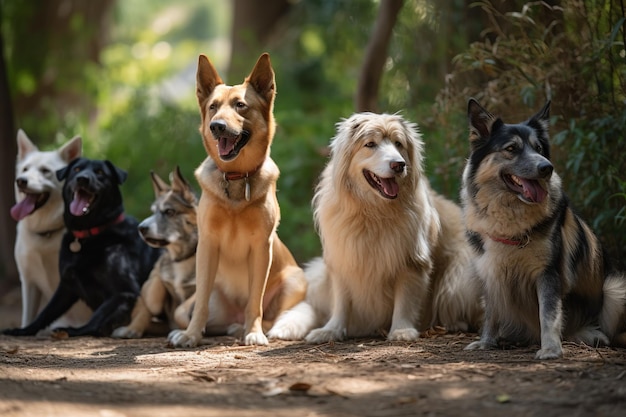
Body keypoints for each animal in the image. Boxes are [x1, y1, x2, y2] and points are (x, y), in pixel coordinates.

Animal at [4, 158, 161, 336]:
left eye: (100, 172)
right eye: (77, 169)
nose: (82, 179)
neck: (88, 234)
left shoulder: (125, 291)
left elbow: (98, 315)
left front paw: (76, 330)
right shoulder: (66, 286)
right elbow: (46, 312)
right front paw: (25, 330)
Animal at [11, 130, 90, 328]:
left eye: (45, 171)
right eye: (25, 169)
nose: (21, 181)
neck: (45, 233)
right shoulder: (28, 282)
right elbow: (27, 319)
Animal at [166, 53, 304, 346]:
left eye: (241, 105)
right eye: (213, 107)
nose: (216, 126)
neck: (236, 178)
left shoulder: (261, 248)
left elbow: (255, 301)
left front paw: (253, 333)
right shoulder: (207, 246)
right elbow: (201, 304)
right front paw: (191, 335)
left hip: (294, 282)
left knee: (273, 316)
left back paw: (248, 328)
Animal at [270, 111, 482, 342]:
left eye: (398, 144)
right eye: (370, 144)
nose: (399, 164)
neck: (372, 212)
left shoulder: (411, 261)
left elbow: (405, 301)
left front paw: (401, 330)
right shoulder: (342, 260)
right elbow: (340, 302)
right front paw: (332, 330)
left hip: (457, 279)